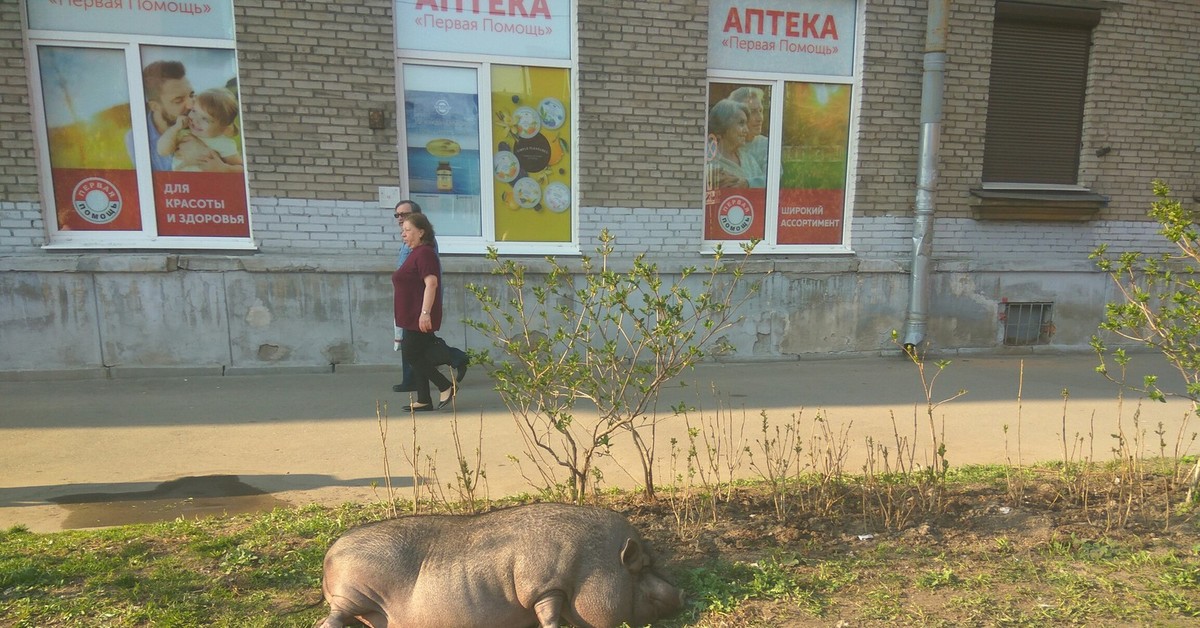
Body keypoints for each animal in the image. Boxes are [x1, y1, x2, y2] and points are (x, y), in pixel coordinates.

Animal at [316, 501, 686, 628]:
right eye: (641, 567)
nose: (681, 593)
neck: (592, 564)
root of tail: (329, 556)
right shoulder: (544, 586)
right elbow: (549, 614)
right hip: (353, 592)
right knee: (331, 619)